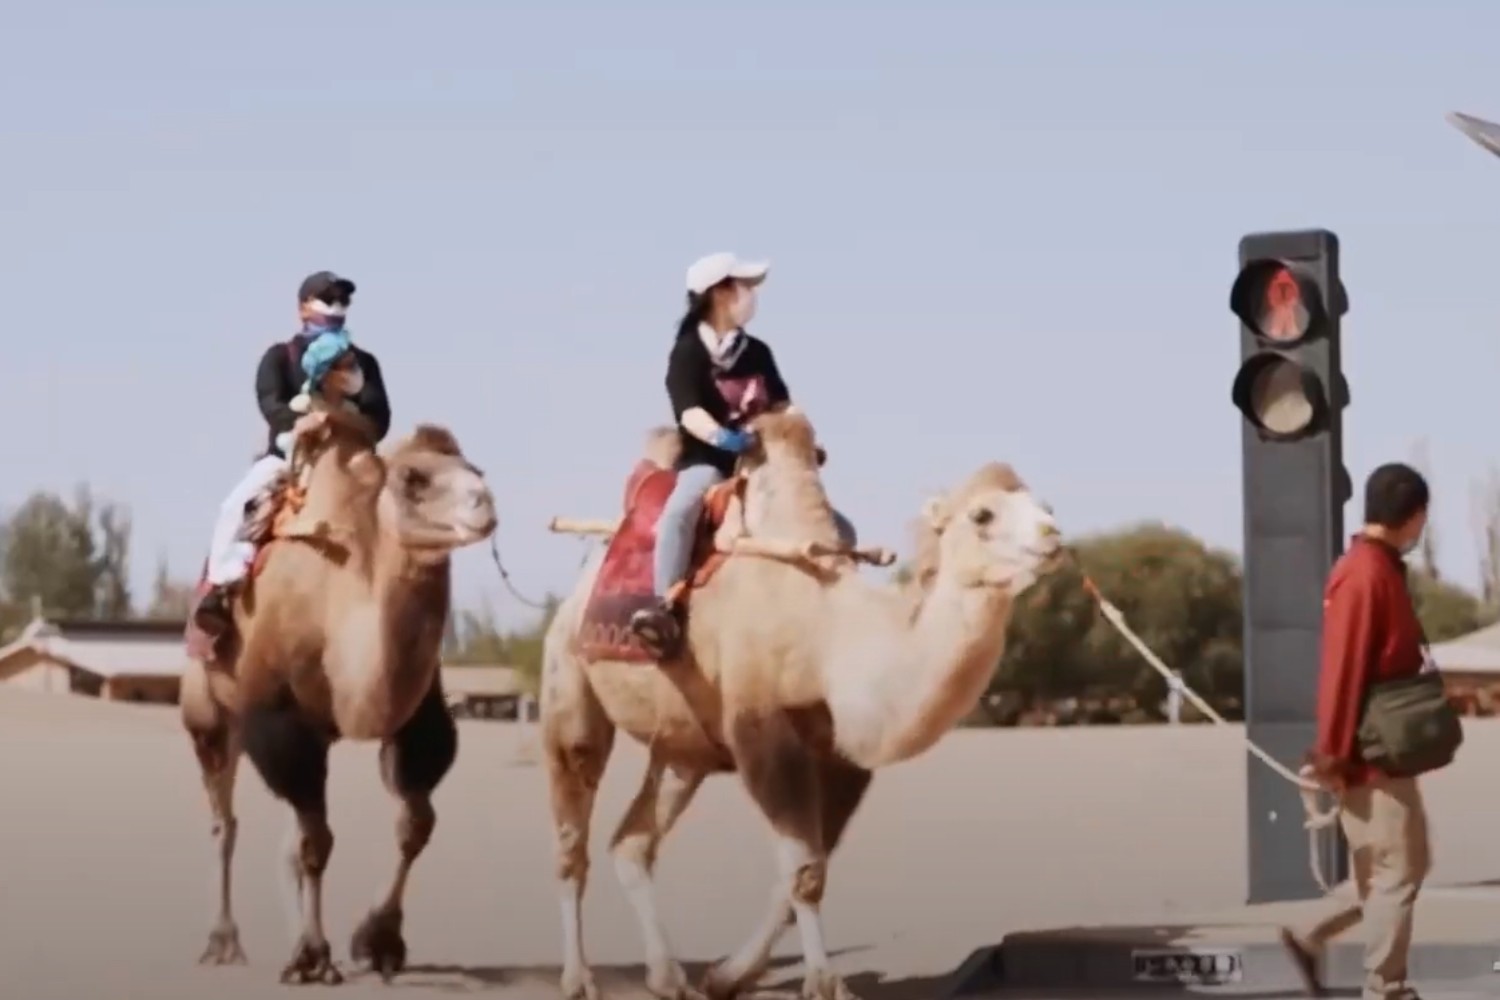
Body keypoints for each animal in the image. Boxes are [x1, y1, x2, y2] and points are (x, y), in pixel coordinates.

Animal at [179, 419, 498, 983]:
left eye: (475, 469)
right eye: (413, 478)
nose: (485, 504)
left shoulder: (416, 722)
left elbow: (414, 825)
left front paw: (378, 940)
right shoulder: (282, 724)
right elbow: (316, 842)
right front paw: (312, 956)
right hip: (209, 714)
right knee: (225, 823)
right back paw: (223, 942)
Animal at [546, 407, 1062, 1000]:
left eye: (1046, 506)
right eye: (982, 514)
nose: (1054, 535)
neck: (830, 638)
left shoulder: (843, 761)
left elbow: (804, 875)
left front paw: (726, 975)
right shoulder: (763, 733)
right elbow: (802, 870)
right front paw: (822, 982)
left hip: (682, 751)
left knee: (632, 843)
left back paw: (668, 975)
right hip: (568, 677)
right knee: (572, 835)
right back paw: (578, 978)